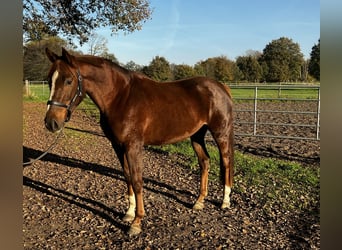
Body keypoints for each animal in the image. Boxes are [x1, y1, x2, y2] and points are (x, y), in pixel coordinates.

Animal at [44, 47, 234, 235]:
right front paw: (129, 213)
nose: (51, 122)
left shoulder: (133, 146)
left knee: (226, 162)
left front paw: (137, 222)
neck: (120, 97)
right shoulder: (118, 146)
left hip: (221, 133)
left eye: (68, 81)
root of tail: (221, 87)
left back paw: (225, 201)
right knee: (205, 162)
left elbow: (137, 180)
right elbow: (127, 176)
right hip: (197, 135)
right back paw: (199, 202)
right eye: (49, 81)